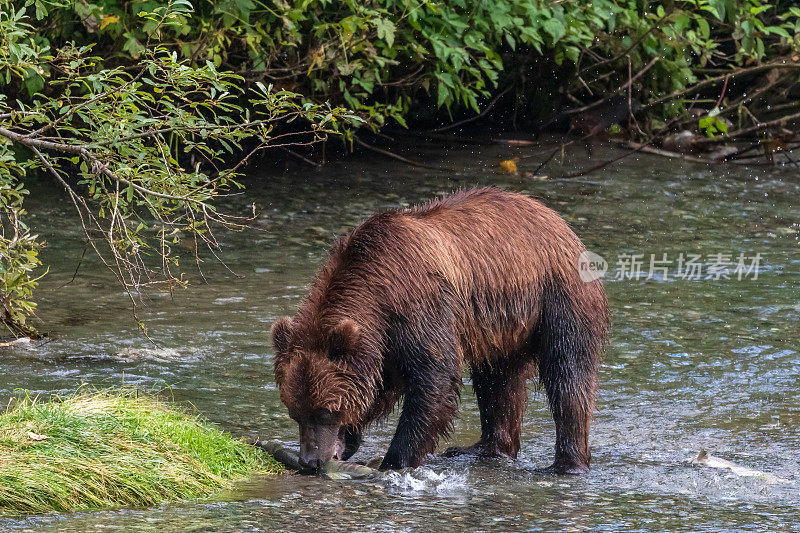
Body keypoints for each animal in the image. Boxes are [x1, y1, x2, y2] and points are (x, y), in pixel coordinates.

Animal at [272, 187, 608, 474]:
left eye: (324, 411)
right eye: (295, 411)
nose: (310, 461)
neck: (374, 289)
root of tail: (555, 218)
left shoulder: (420, 308)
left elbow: (434, 377)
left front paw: (394, 461)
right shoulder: (384, 342)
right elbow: (376, 386)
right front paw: (346, 442)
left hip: (556, 298)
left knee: (567, 374)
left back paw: (566, 464)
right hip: (501, 326)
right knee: (497, 381)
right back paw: (485, 448)